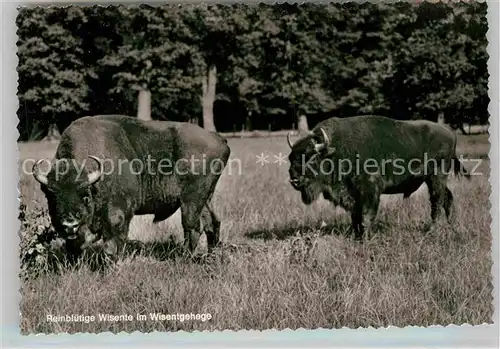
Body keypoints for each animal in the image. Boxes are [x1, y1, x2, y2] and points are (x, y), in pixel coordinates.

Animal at [32, 114, 231, 258]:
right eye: (51, 195)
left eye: (85, 195)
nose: (69, 223)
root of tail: (218, 139)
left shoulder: (118, 212)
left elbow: (112, 243)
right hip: (205, 197)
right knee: (212, 222)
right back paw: (210, 255)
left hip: (191, 199)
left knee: (193, 226)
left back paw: (184, 258)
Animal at [288, 114, 470, 239]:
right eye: (291, 157)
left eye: (311, 157)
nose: (294, 179)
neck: (336, 150)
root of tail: (450, 133)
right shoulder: (353, 196)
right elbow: (355, 217)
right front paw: (356, 237)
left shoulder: (369, 191)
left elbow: (366, 217)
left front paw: (366, 238)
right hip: (432, 179)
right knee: (447, 197)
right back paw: (451, 225)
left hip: (436, 175)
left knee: (436, 201)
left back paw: (432, 230)